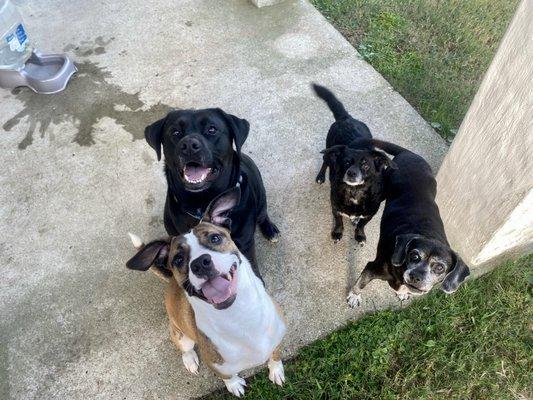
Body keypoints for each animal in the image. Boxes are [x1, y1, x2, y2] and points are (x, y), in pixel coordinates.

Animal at [125, 188, 284, 396]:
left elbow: (275, 354)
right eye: (178, 259)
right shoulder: (216, 365)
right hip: (181, 335)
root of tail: (171, 282)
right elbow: (228, 376)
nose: (200, 263)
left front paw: (276, 370)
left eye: (215, 238)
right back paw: (190, 360)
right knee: (184, 347)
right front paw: (234, 385)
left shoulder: (278, 338)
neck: (239, 315)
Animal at [143, 108, 280, 280]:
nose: (189, 145)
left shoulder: (245, 244)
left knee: (263, 214)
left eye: (212, 129)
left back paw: (270, 229)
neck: (202, 202)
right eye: (175, 132)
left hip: (261, 199)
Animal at [312, 84, 394, 245]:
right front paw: (337, 233)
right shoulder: (335, 207)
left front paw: (360, 235)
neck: (354, 192)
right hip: (329, 150)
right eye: (346, 162)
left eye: (366, 165)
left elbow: (362, 224)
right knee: (325, 160)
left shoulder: (370, 213)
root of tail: (347, 118)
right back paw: (320, 177)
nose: (351, 173)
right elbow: (339, 221)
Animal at [348, 138, 468, 306]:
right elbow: (361, 283)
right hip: (382, 191)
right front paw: (354, 296)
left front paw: (403, 294)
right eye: (414, 256)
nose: (416, 277)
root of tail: (409, 153)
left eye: (440, 268)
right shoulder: (372, 268)